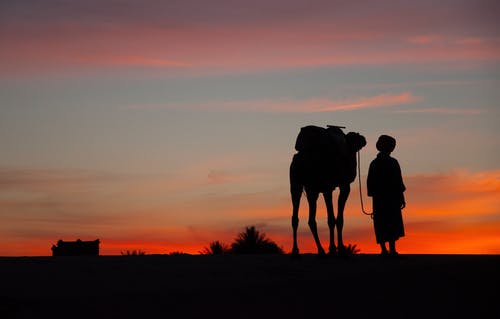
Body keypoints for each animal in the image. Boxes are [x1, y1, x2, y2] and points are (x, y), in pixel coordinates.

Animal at [290, 125, 368, 258]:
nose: (363, 139)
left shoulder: (324, 188)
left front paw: (334, 248)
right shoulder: (342, 185)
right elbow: (337, 219)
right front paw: (338, 249)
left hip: (301, 186)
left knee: (300, 218)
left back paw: (301, 250)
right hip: (319, 185)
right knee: (322, 218)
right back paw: (324, 250)